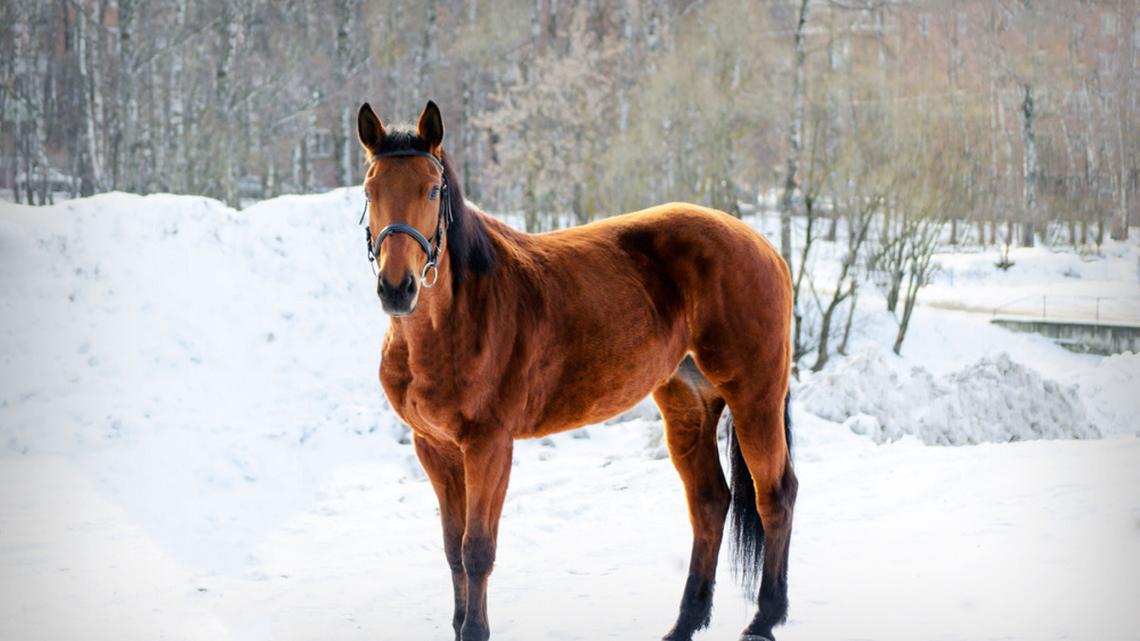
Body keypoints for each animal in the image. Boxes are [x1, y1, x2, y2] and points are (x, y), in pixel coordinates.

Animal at [357, 100, 797, 641]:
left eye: (432, 189)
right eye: (370, 190)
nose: (397, 288)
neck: (459, 318)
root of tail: (763, 245)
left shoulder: (489, 446)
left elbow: (476, 550)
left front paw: (475, 630)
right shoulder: (435, 448)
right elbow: (452, 550)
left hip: (755, 395)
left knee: (775, 495)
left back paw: (764, 617)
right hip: (687, 404)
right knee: (711, 503)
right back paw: (685, 622)